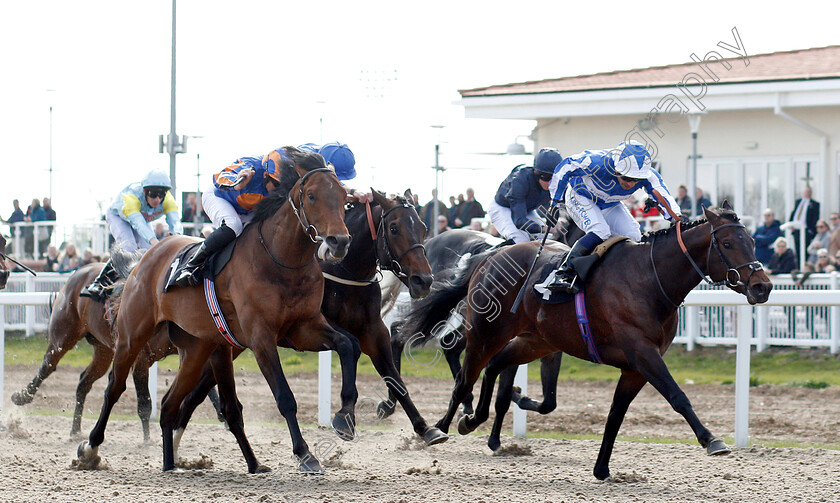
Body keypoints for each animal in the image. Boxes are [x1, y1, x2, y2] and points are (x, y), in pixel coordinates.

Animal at [77, 151, 352, 476]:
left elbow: (347, 345)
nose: (339, 242)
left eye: (345, 197)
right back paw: (90, 449)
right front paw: (305, 454)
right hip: (133, 336)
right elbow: (285, 397)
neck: (280, 259)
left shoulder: (302, 328)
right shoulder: (261, 338)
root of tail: (145, 257)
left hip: (198, 349)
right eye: (311, 195)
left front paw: (345, 417)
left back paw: (174, 464)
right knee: (114, 388)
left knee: (171, 404)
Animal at [167, 190, 450, 468]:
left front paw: (426, 428)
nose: (424, 280)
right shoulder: (309, 327)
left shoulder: (373, 332)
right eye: (393, 228)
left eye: (423, 228)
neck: (344, 271)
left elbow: (395, 377)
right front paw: (344, 418)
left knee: (197, 390)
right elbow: (352, 348)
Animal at [404, 203, 772, 478]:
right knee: (463, 378)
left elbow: (614, 416)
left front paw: (602, 469)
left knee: (495, 366)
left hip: (535, 341)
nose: (763, 286)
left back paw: (474, 419)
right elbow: (678, 396)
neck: (648, 279)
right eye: (727, 244)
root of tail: (488, 257)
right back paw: (439, 430)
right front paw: (712, 440)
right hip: (484, 332)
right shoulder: (643, 354)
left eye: (753, 242)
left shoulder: (634, 368)